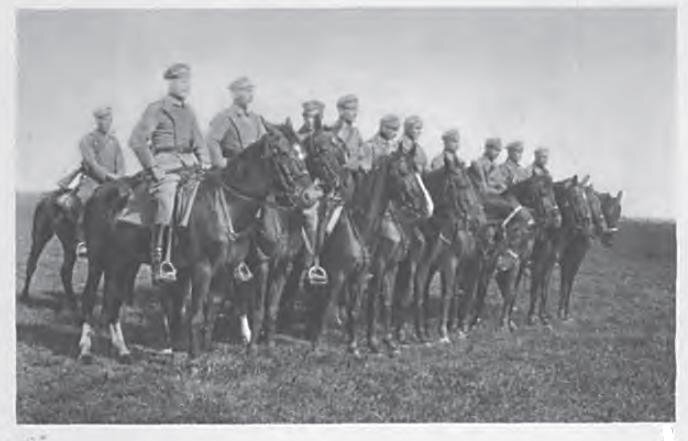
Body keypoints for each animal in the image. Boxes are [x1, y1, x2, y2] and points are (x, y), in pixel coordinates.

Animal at [76, 120, 321, 362]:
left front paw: (206, 352)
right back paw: (86, 350)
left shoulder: (228, 268)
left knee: (114, 300)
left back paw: (123, 350)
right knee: (90, 298)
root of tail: (100, 191)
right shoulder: (204, 268)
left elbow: (217, 309)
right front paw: (194, 359)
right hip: (98, 260)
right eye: (283, 152)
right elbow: (199, 314)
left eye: (304, 153)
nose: (310, 195)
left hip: (124, 262)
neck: (227, 205)